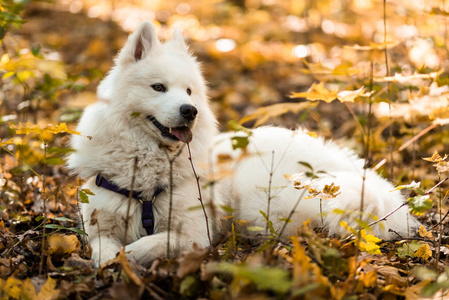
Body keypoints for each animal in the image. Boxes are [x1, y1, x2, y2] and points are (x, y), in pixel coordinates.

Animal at [67, 21, 420, 266]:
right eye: (158, 87)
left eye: (189, 91)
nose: (190, 111)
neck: (144, 179)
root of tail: (349, 165)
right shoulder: (97, 225)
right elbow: (102, 248)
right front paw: (111, 261)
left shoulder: (197, 232)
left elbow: (156, 242)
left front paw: (131, 254)